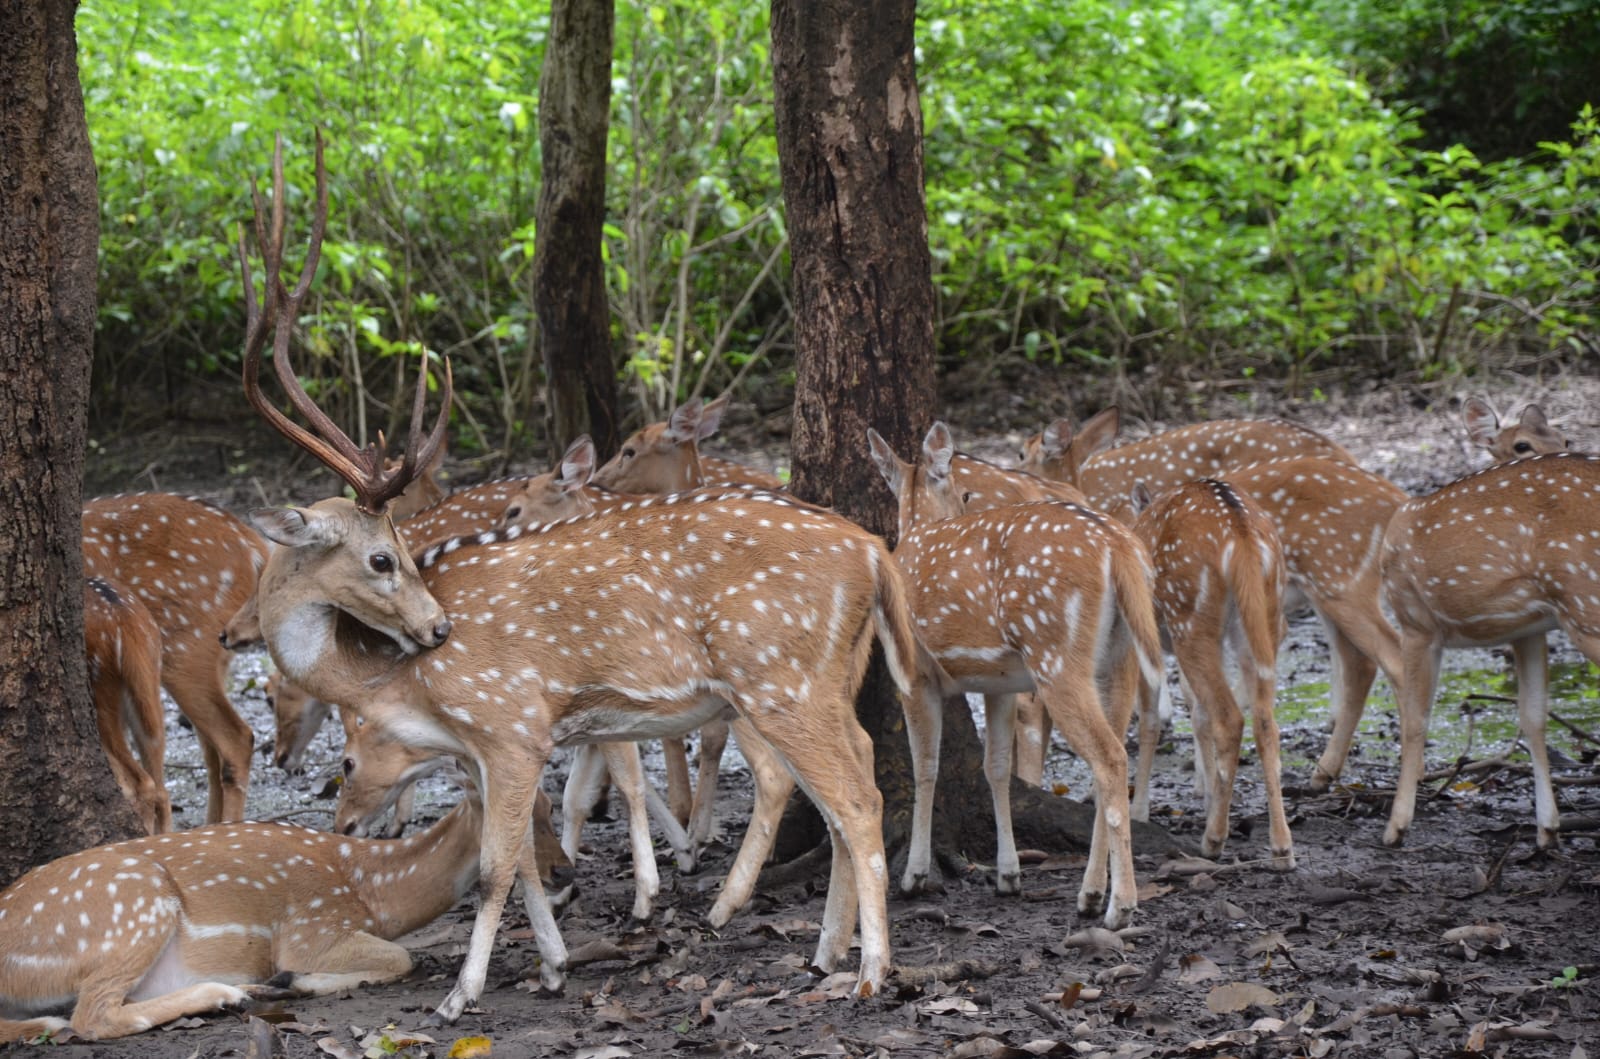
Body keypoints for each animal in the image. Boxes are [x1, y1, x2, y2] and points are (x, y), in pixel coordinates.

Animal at [0, 781, 515, 1043]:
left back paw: (252, 991)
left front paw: (290, 983)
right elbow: (403, 958)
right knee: (90, 1016)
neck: (369, 888)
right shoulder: (310, 927)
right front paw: (296, 979)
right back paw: (231, 993)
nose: (559, 874)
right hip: (134, 907)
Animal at [237, 135, 936, 1017]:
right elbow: (523, 856)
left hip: (781, 678)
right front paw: (554, 962)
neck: (394, 689)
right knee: (849, 780)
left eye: (389, 553)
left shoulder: (510, 723)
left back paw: (866, 968)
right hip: (825, 675)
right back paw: (821, 952)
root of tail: (873, 550)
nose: (437, 628)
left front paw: (463, 994)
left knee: (856, 795)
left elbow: (497, 864)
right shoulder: (491, 748)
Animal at [869, 422, 1162, 926]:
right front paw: (1009, 875)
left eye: (966, 493)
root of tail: (1121, 547)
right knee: (1114, 750)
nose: (965, 501)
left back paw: (1119, 906)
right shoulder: (999, 683)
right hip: (1117, 657)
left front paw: (914, 876)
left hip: (1055, 654)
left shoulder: (912, 673)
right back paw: (1089, 894)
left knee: (1108, 757)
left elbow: (925, 766)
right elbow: (997, 768)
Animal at [1127, 479, 1293, 866]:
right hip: (1265, 613)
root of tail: (1240, 534)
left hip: (1188, 615)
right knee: (1264, 718)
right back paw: (1281, 847)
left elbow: (1150, 719)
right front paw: (1204, 794)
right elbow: (1197, 712)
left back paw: (1214, 839)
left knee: (1230, 717)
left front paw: (1138, 811)